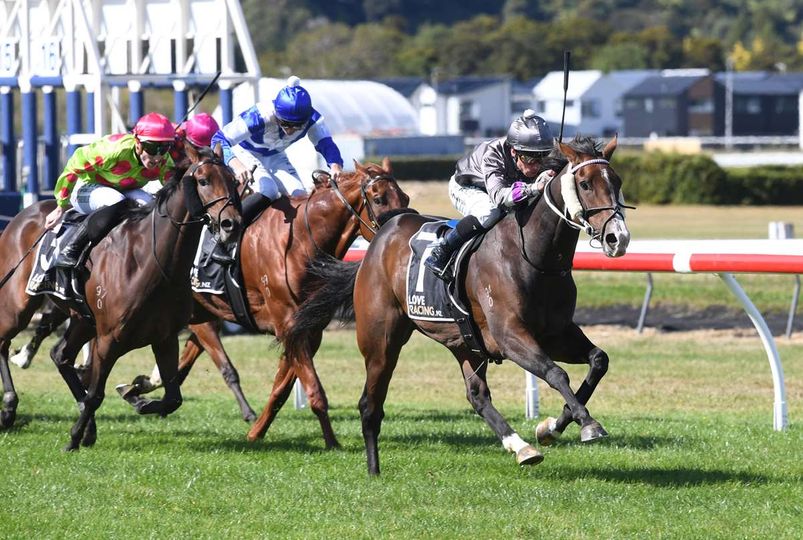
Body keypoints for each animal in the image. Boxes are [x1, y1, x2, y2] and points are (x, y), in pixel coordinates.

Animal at [0, 144, 240, 452]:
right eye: (203, 180)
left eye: (233, 179)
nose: (231, 223)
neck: (152, 261)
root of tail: (22, 215)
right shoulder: (108, 339)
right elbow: (95, 395)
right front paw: (74, 437)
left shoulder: (164, 337)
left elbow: (173, 398)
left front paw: (136, 398)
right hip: (18, 307)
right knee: (5, 342)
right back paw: (9, 407)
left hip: (81, 318)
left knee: (60, 355)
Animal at [121, 158, 408, 450]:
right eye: (379, 198)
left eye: (405, 197)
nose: (399, 234)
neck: (302, 241)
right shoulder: (289, 327)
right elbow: (314, 390)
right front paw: (331, 442)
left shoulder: (308, 331)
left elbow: (280, 389)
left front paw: (255, 432)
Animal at [292, 136, 632, 472]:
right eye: (585, 184)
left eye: (617, 181)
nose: (618, 238)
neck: (535, 258)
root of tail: (379, 239)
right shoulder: (510, 336)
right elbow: (556, 373)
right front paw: (588, 424)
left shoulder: (555, 333)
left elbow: (598, 360)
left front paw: (551, 428)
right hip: (381, 340)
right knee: (369, 404)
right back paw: (374, 471)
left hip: (464, 341)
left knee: (476, 395)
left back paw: (521, 447)